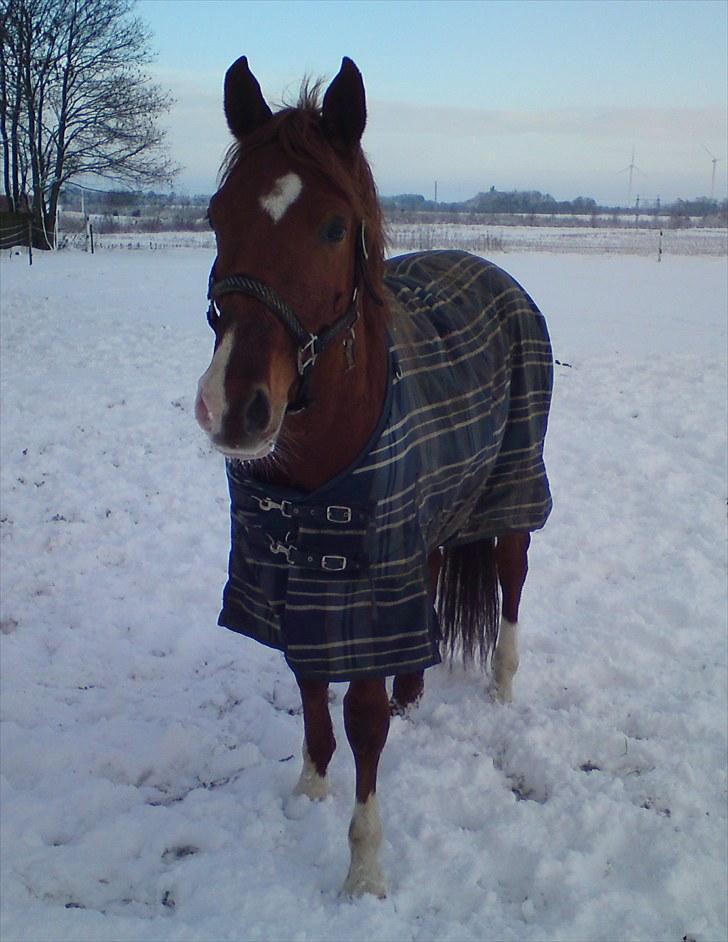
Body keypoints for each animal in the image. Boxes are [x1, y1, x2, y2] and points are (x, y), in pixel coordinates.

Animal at [195, 57, 552, 900]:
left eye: (333, 226)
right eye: (218, 217)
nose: (234, 407)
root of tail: (496, 273)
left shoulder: (361, 582)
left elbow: (361, 718)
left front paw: (364, 866)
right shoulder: (298, 579)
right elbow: (308, 685)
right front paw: (310, 787)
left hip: (512, 490)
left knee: (512, 579)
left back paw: (501, 686)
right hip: (434, 513)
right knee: (434, 576)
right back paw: (414, 690)